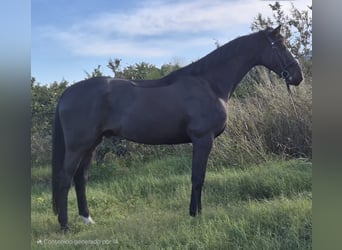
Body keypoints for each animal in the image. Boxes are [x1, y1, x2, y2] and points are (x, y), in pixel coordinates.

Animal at [50, 25, 302, 230]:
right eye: (281, 45)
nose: (297, 76)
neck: (209, 83)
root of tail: (67, 93)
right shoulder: (202, 139)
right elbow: (198, 178)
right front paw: (195, 215)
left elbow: (200, 177)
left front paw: (196, 212)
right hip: (78, 146)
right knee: (65, 178)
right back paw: (65, 226)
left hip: (92, 144)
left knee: (80, 178)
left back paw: (87, 219)